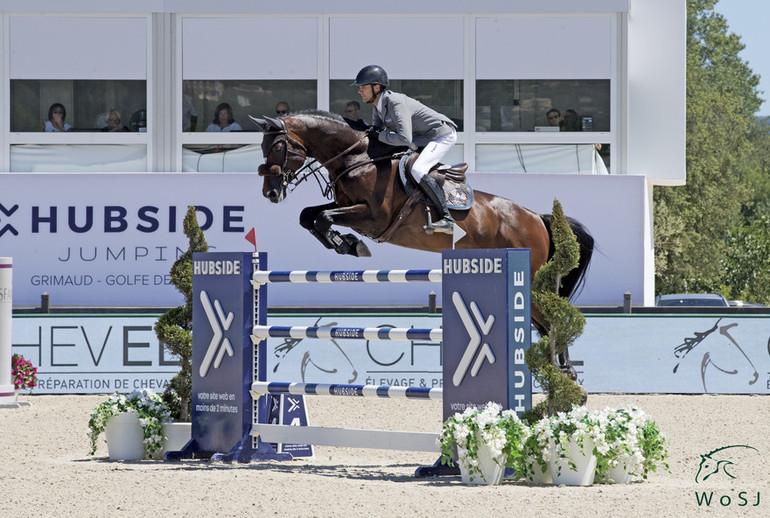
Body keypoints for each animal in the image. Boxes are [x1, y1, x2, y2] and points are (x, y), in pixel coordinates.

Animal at [249, 110, 592, 370]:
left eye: (277, 147)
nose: (270, 193)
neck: (358, 158)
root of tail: (537, 217)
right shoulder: (345, 206)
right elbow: (308, 216)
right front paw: (344, 243)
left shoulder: (373, 217)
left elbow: (322, 218)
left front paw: (350, 244)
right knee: (545, 324)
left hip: (531, 281)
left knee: (552, 320)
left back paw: (567, 374)